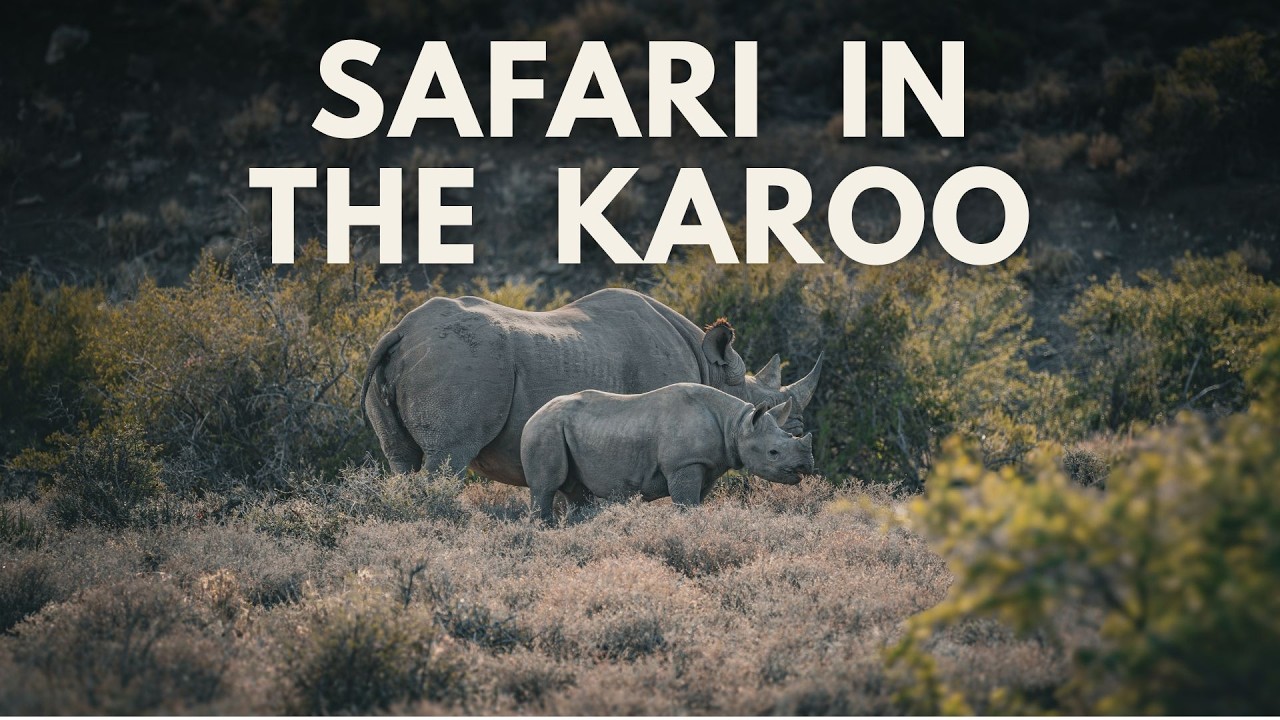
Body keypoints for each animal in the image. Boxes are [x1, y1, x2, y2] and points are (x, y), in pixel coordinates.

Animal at [361, 288, 821, 485]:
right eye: (780, 422)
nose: (805, 464)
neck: (713, 370)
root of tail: (402, 330)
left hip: (430, 355)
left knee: (400, 458)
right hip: (460, 360)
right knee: (447, 456)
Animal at [522, 383, 815, 521]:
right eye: (773, 453)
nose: (807, 466)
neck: (735, 423)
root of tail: (533, 415)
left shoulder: (707, 465)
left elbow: (696, 502)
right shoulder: (684, 464)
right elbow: (686, 504)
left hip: (560, 430)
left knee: (577, 493)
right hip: (544, 429)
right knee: (545, 488)